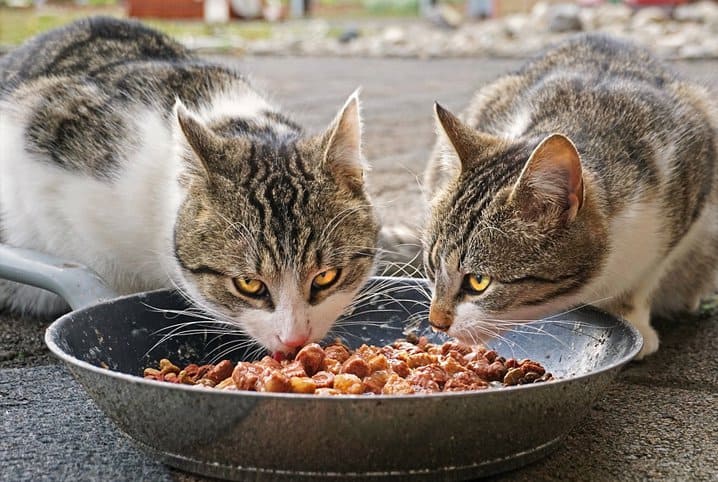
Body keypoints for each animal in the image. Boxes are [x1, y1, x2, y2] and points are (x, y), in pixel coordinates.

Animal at [422, 34, 718, 358]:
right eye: (432, 266)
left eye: (478, 281)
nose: (436, 322)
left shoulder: (692, 178)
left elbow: (644, 277)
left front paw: (632, 317)